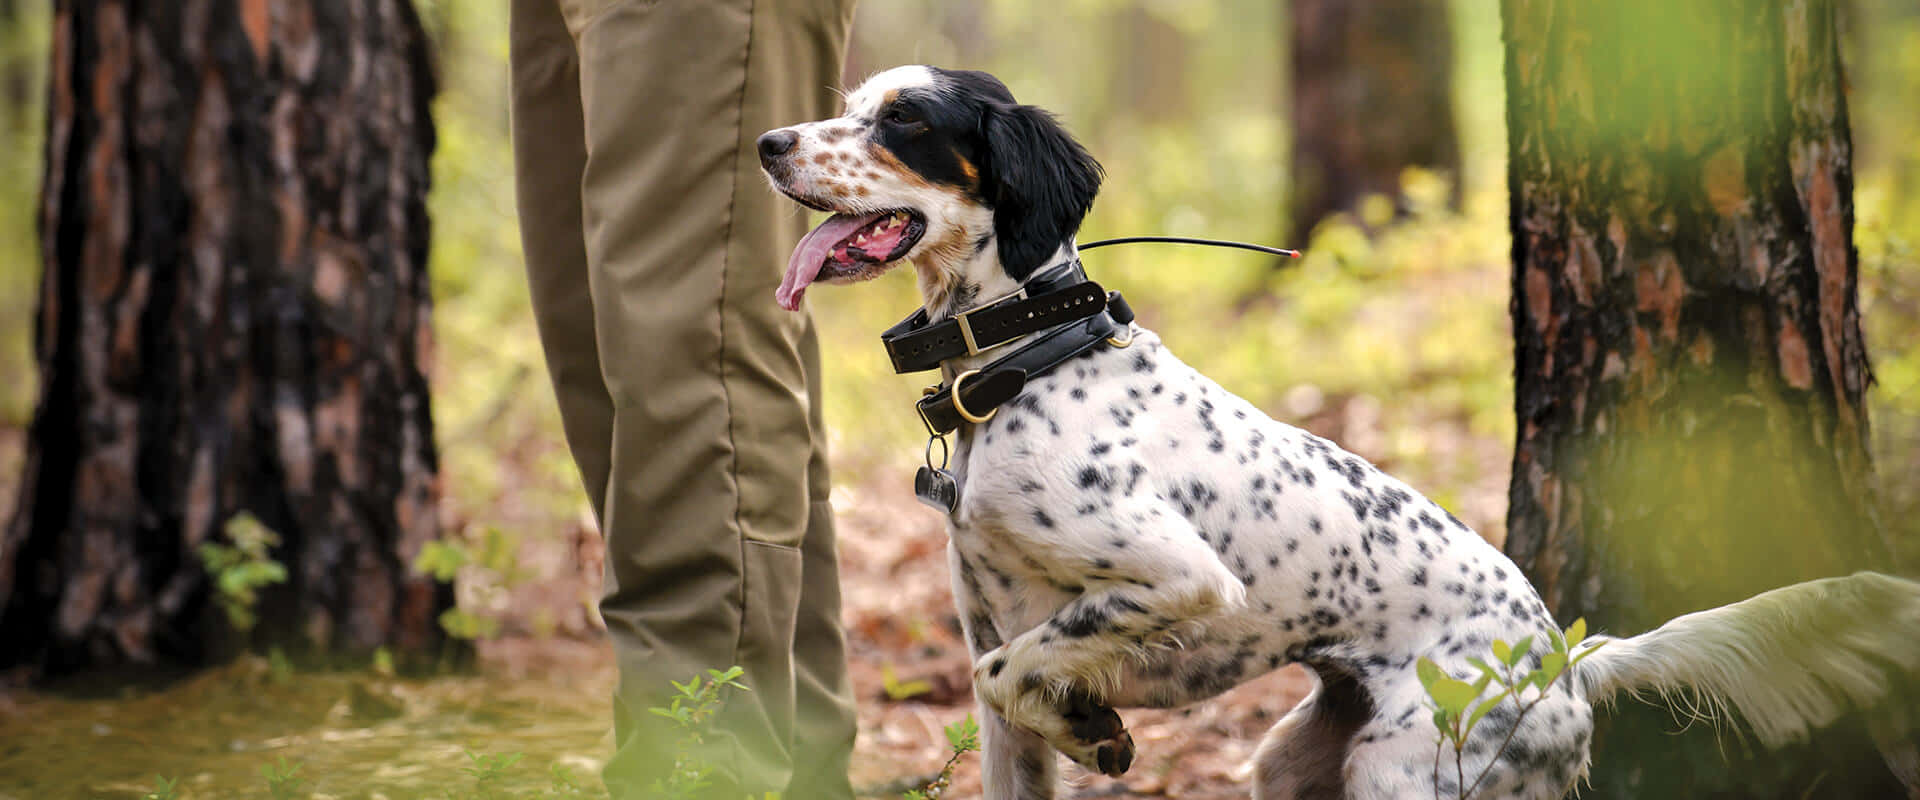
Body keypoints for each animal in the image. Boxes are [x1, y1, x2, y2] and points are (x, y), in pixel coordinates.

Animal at [752, 67, 1920, 798]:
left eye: (904, 121)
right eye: (847, 107)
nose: (767, 140)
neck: (1027, 362)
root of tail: (1565, 658)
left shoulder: (1181, 577)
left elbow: (1020, 672)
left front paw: (1098, 726)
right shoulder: (995, 665)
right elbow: (1009, 689)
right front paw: (1084, 723)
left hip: (1410, 775)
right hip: (1295, 763)